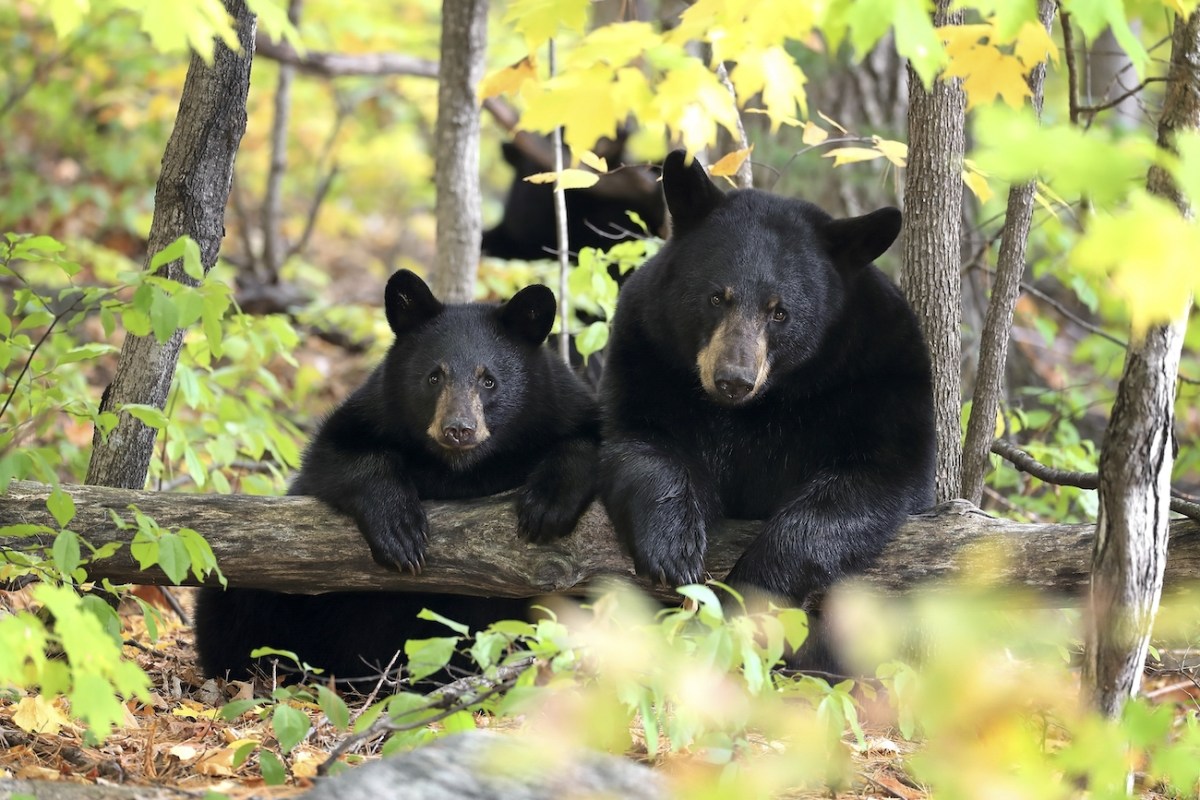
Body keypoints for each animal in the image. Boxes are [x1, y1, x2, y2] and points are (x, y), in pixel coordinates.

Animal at [195, 269, 600, 683]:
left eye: (489, 380)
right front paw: (401, 532)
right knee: (233, 601)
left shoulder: (561, 405)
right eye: (434, 376)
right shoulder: (371, 413)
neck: (462, 470)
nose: (459, 429)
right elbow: (336, 458)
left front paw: (546, 507)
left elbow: (589, 441)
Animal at [598, 150, 936, 625]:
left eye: (780, 312)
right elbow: (642, 439)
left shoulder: (882, 377)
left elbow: (870, 479)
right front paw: (672, 547)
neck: (761, 404)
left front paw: (752, 586)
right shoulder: (646, 352)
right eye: (716, 297)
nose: (733, 380)